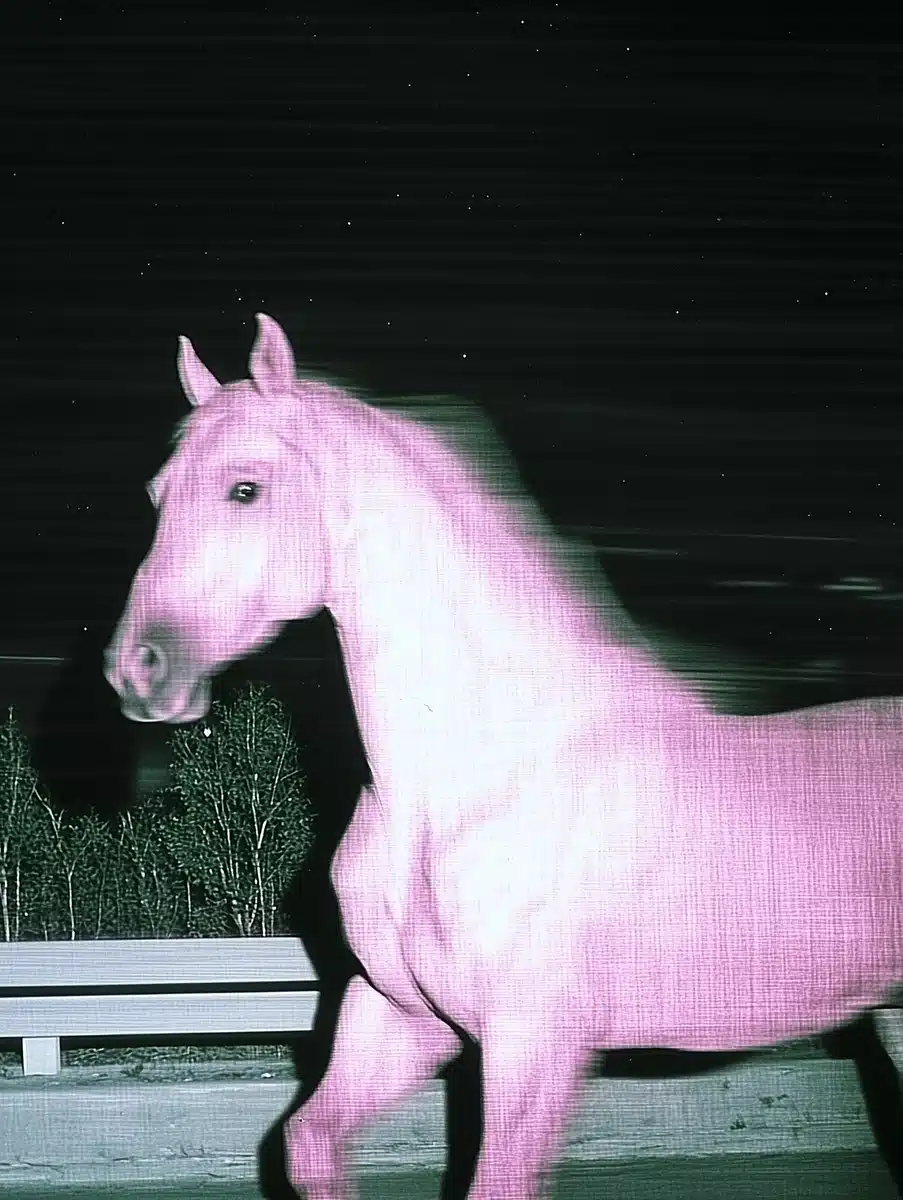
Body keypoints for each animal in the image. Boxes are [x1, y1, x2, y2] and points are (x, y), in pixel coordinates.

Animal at [105, 313, 903, 1198]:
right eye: (156, 496)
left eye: (244, 489)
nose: (137, 670)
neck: (464, 790)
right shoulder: (401, 1017)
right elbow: (309, 1142)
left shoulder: (534, 1045)